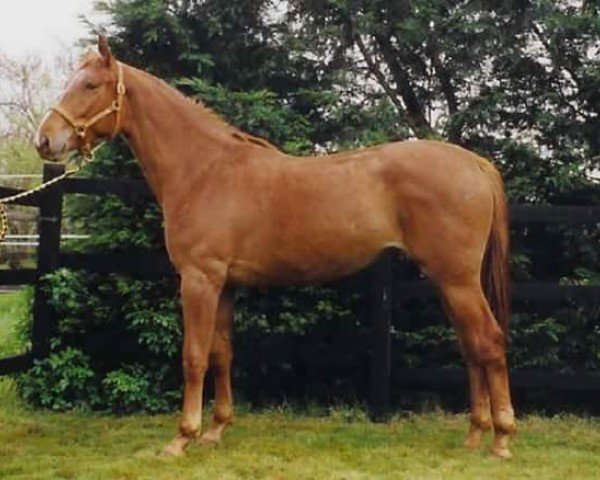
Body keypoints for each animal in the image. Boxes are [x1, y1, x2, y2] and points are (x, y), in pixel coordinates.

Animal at [34, 36, 516, 458]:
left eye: (89, 85)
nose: (45, 140)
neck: (205, 170)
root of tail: (474, 162)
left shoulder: (199, 281)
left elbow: (193, 356)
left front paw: (182, 438)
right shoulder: (224, 285)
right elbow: (222, 353)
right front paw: (216, 430)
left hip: (457, 280)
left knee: (489, 341)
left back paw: (501, 438)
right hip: (448, 281)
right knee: (470, 346)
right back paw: (475, 434)